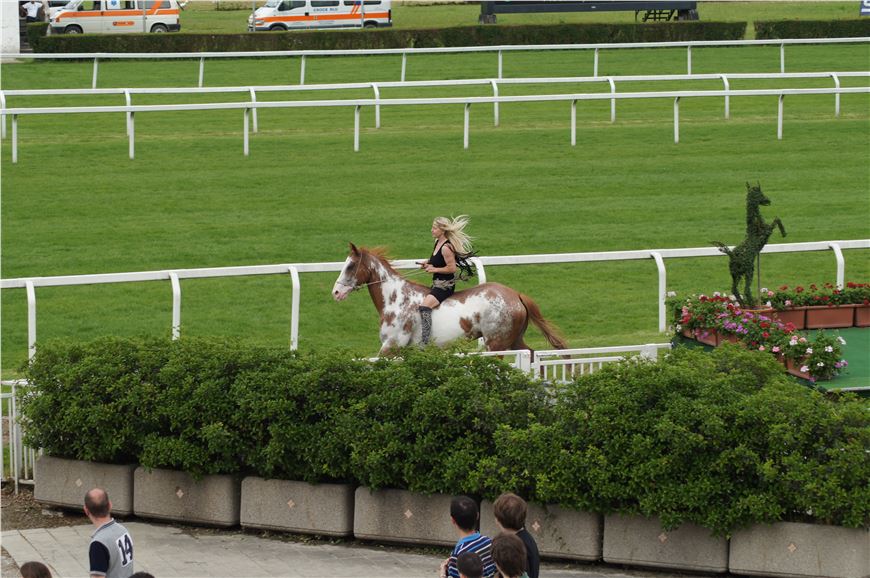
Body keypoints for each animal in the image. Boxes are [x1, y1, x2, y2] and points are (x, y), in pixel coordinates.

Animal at [331, 243, 568, 356]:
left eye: (350, 265)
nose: (336, 292)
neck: (396, 300)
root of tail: (516, 295)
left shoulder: (392, 345)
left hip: (496, 344)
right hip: (513, 340)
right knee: (531, 355)